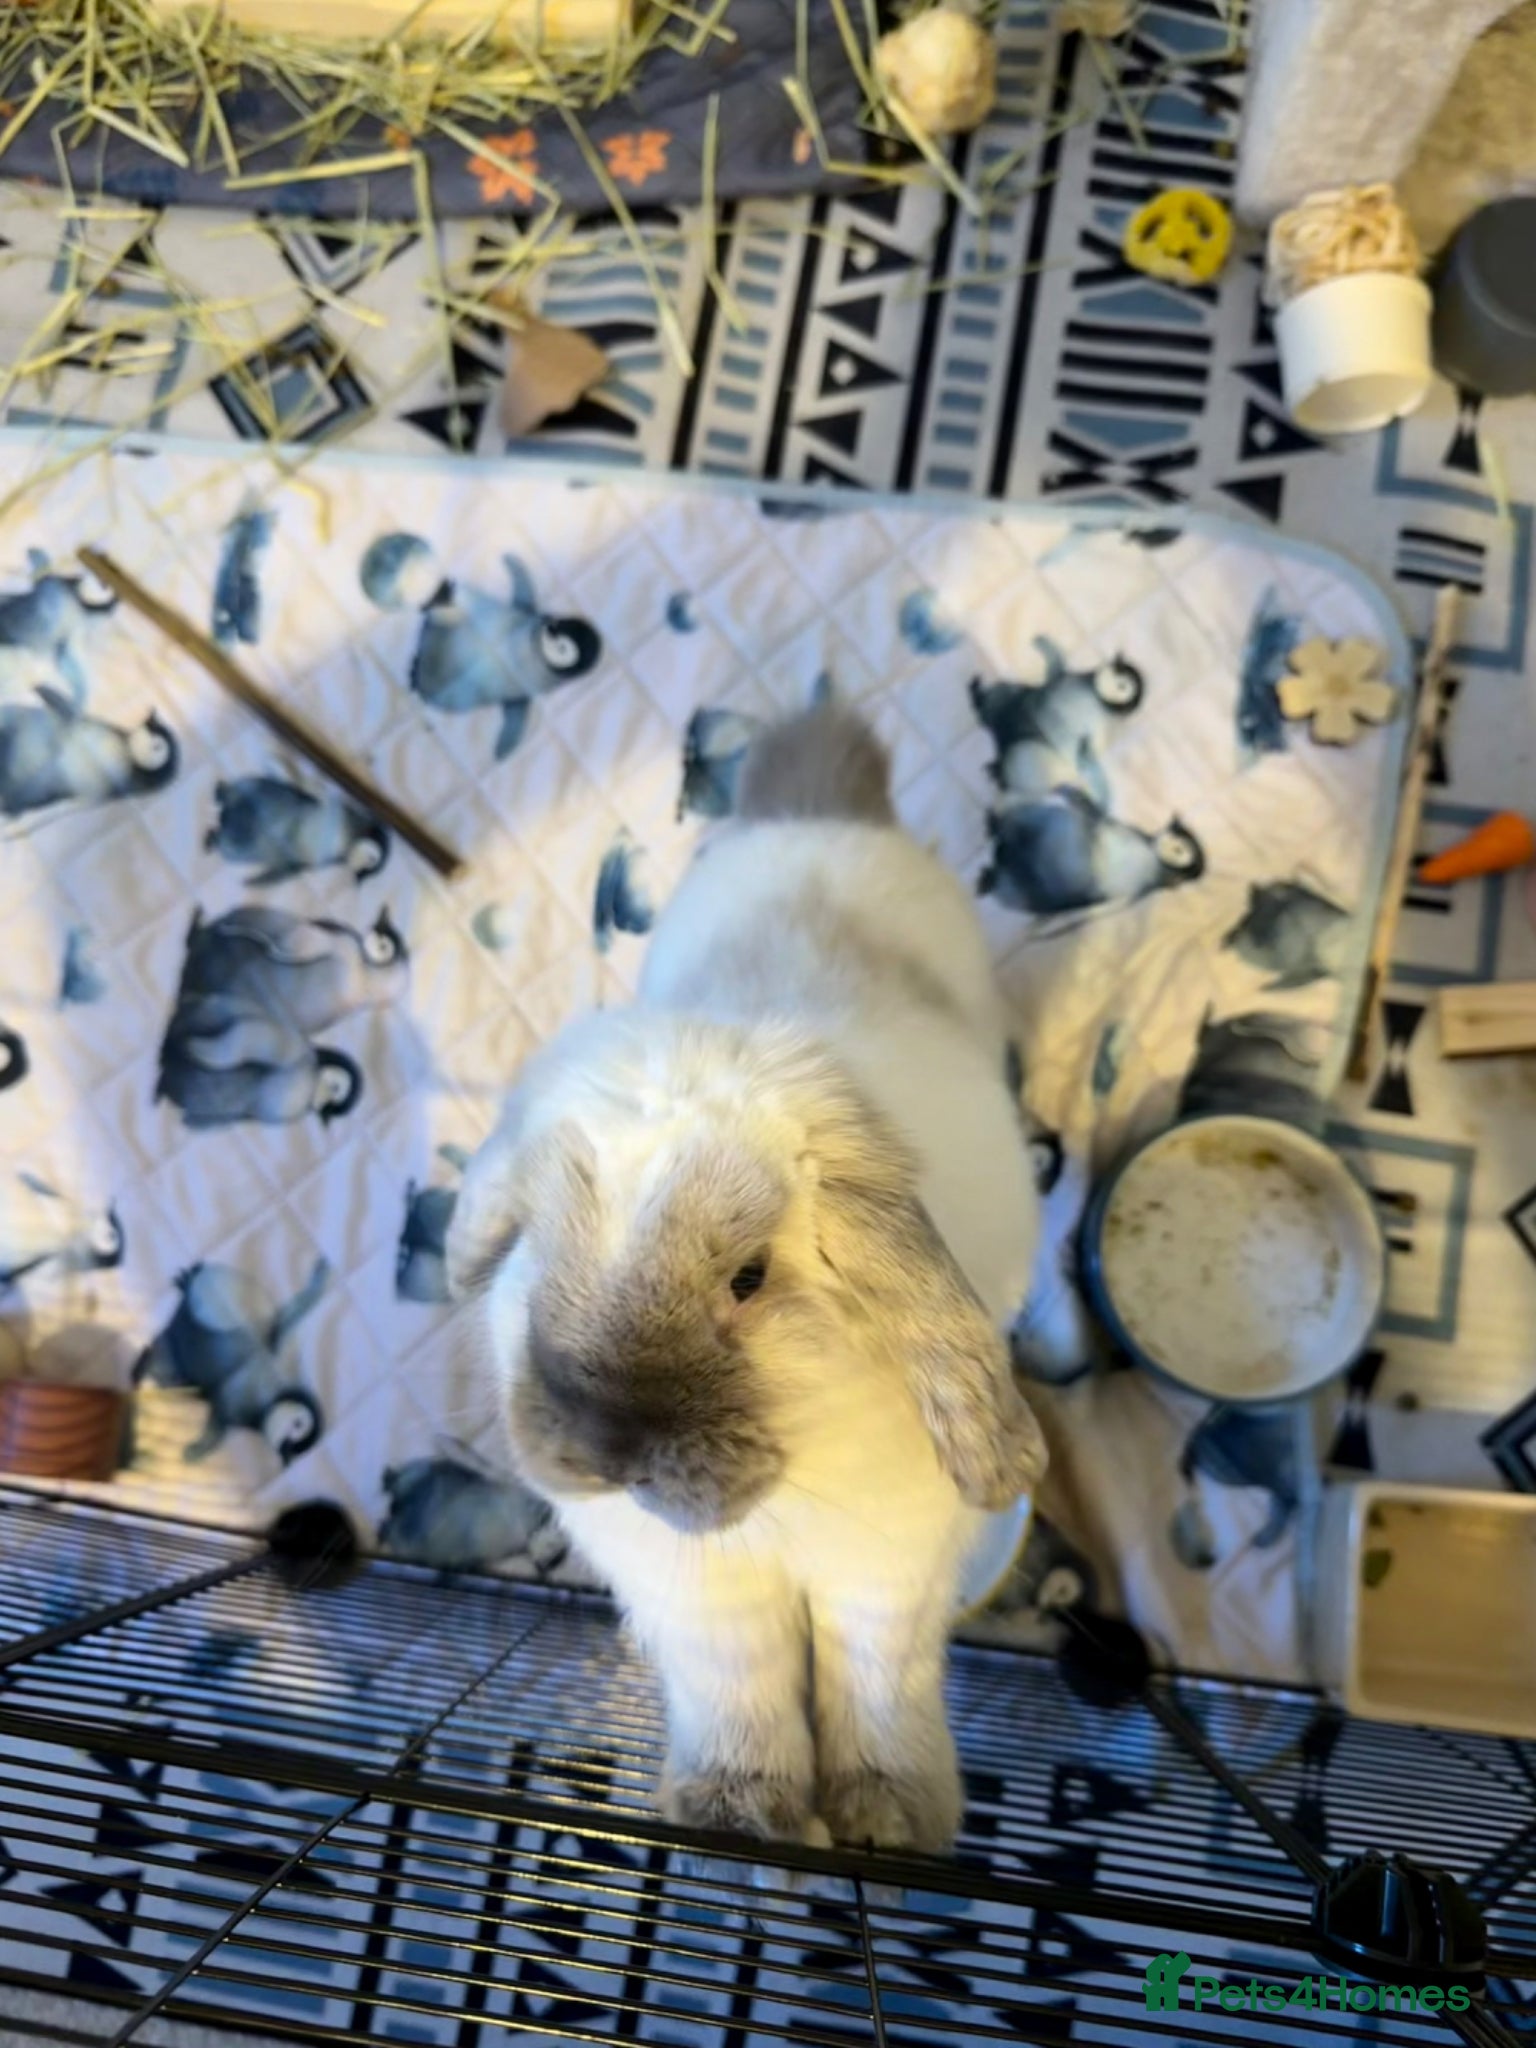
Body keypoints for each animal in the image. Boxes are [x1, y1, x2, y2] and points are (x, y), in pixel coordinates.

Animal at [447, 699, 1044, 1859]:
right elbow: (743, 1688)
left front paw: (886, 1824)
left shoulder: (884, 1577)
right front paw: (741, 1819)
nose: (603, 1448)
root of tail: (819, 806)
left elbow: (876, 1682)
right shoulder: (703, 1606)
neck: (781, 1493)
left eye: (750, 1277)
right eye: (538, 1240)